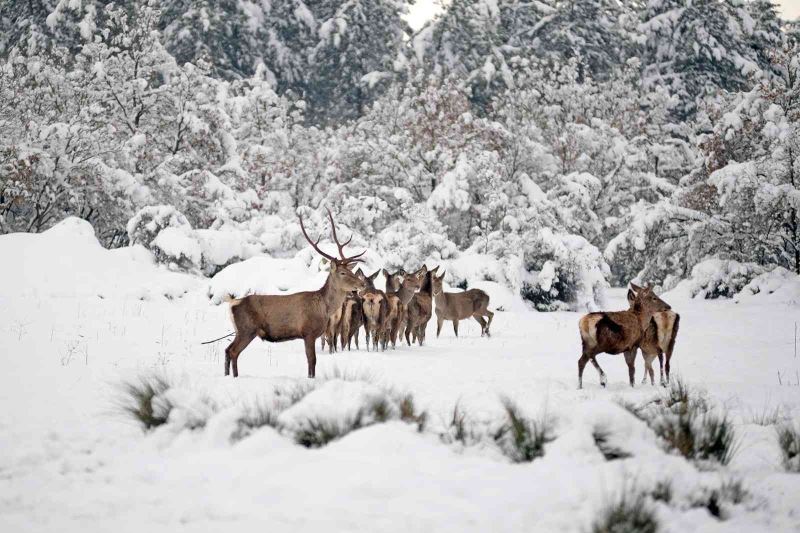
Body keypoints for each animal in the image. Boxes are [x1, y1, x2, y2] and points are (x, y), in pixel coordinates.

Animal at [222, 208, 366, 378]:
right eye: (343, 273)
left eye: (351, 270)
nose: (362, 284)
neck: (324, 308)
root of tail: (232, 303)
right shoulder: (308, 332)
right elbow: (312, 360)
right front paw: (311, 378)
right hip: (246, 329)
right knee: (233, 351)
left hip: (240, 330)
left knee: (228, 350)